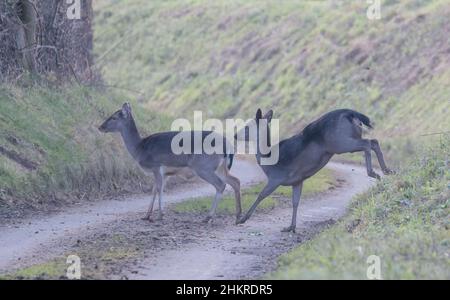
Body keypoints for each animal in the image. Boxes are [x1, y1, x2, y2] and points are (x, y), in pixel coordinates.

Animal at [97, 103, 241, 223]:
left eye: (114, 117)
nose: (100, 127)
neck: (140, 149)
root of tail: (228, 146)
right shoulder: (165, 173)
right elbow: (154, 189)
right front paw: (147, 215)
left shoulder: (156, 166)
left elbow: (159, 189)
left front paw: (160, 215)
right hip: (219, 167)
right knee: (235, 181)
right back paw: (239, 216)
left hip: (203, 166)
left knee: (220, 184)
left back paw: (209, 217)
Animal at [234, 108, 392, 232]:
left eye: (247, 126)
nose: (235, 135)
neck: (267, 161)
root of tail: (351, 112)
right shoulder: (297, 180)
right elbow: (295, 202)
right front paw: (291, 227)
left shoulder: (276, 177)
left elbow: (261, 195)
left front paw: (241, 219)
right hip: (345, 140)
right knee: (373, 141)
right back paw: (387, 171)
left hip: (340, 142)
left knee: (367, 143)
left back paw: (374, 173)